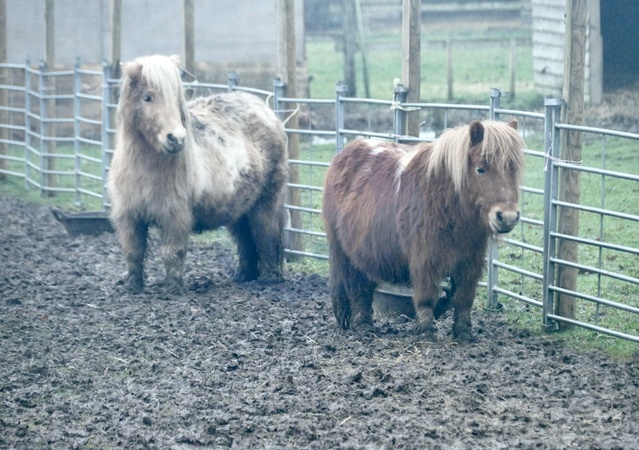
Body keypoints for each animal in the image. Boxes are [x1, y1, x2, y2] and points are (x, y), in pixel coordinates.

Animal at [107, 55, 288, 293]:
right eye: (148, 97)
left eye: (176, 98)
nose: (176, 138)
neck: (145, 168)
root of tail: (263, 107)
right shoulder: (129, 216)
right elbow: (132, 252)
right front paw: (133, 287)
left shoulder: (175, 216)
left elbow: (171, 252)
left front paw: (172, 288)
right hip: (240, 208)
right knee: (244, 240)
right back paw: (243, 275)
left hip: (266, 201)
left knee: (266, 235)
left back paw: (268, 277)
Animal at [322, 120, 526, 342]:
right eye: (481, 169)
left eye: (513, 169)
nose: (507, 216)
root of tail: (345, 153)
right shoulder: (425, 258)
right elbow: (427, 296)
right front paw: (427, 332)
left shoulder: (470, 260)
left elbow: (463, 297)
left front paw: (463, 333)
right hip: (343, 252)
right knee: (358, 290)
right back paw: (364, 326)